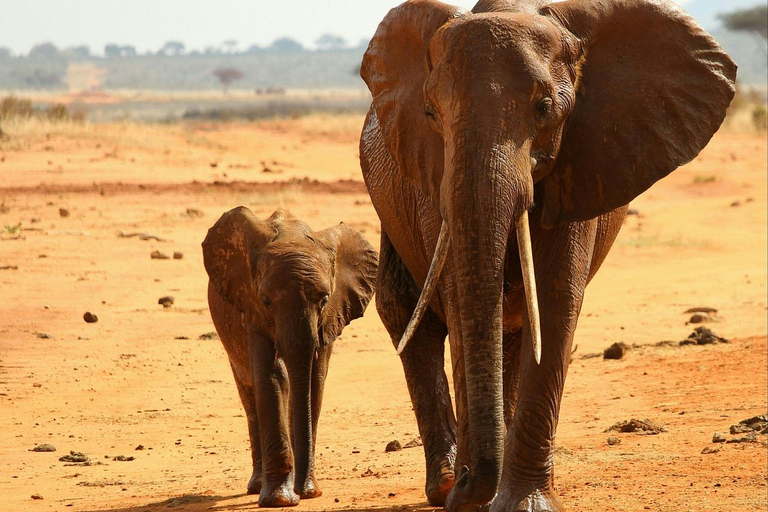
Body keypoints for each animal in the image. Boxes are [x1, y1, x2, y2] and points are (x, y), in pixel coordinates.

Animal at [201, 208, 376, 508]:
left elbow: (314, 381)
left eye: (324, 299)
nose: (304, 491)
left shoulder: (332, 315)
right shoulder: (251, 309)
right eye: (266, 300)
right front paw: (281, 500)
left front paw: (306, 491)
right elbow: (273, 376)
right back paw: (257, 486)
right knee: (250, 396)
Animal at [364, 1, 736, 512]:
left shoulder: (583, 162)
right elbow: (460, 299)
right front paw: (471, 497)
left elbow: (556, 299)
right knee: (407, 313)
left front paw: (523, 503)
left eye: (544, 109)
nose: (467, 485)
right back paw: (443, 485)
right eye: (430, 112)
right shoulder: (432, 180)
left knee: (516, 328)